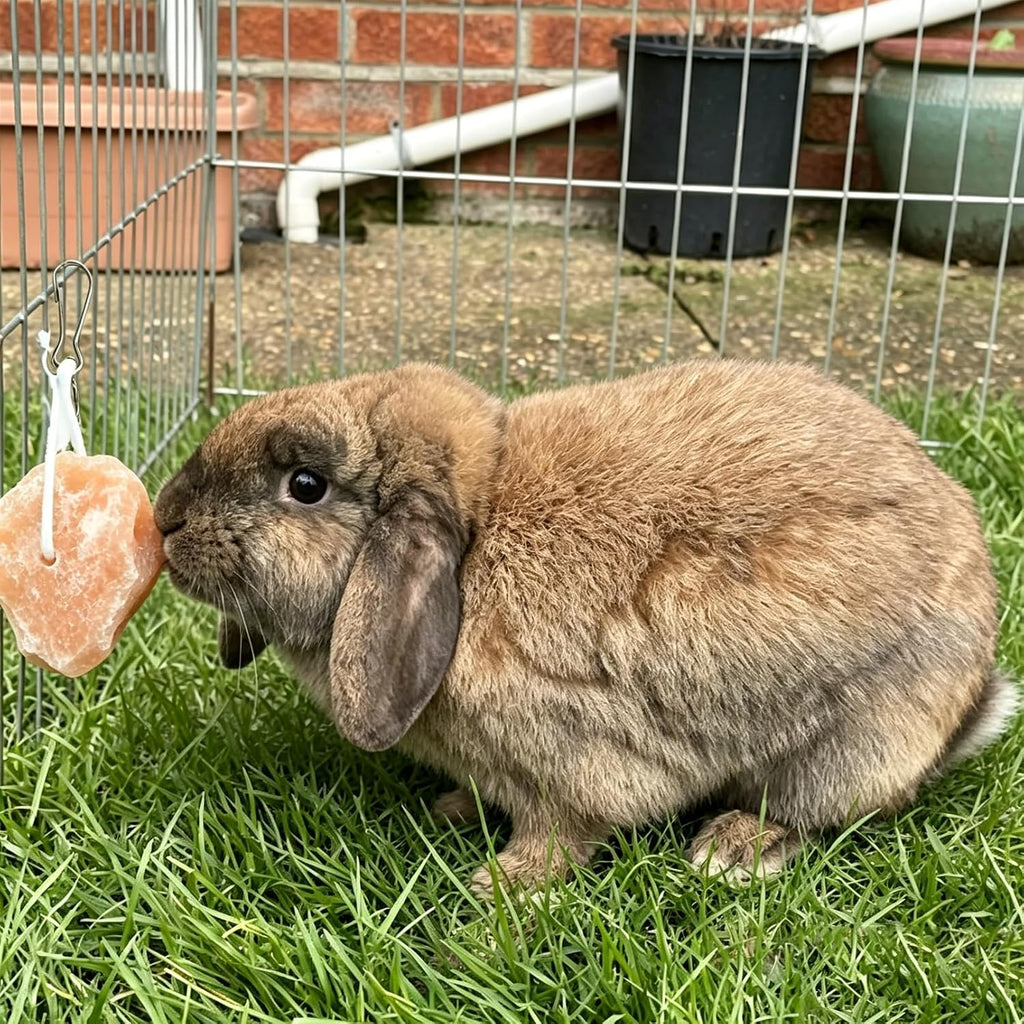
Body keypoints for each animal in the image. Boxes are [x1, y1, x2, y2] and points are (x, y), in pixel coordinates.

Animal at [154, 360, 1015, 895]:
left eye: (305, 485)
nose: (164, 518)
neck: (476, 534)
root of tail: (969, 701)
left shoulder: (570, 762)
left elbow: (564, 830)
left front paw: (504, 888)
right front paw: (454, 809)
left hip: (844, 748)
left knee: (824, 816)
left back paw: (732, 850)